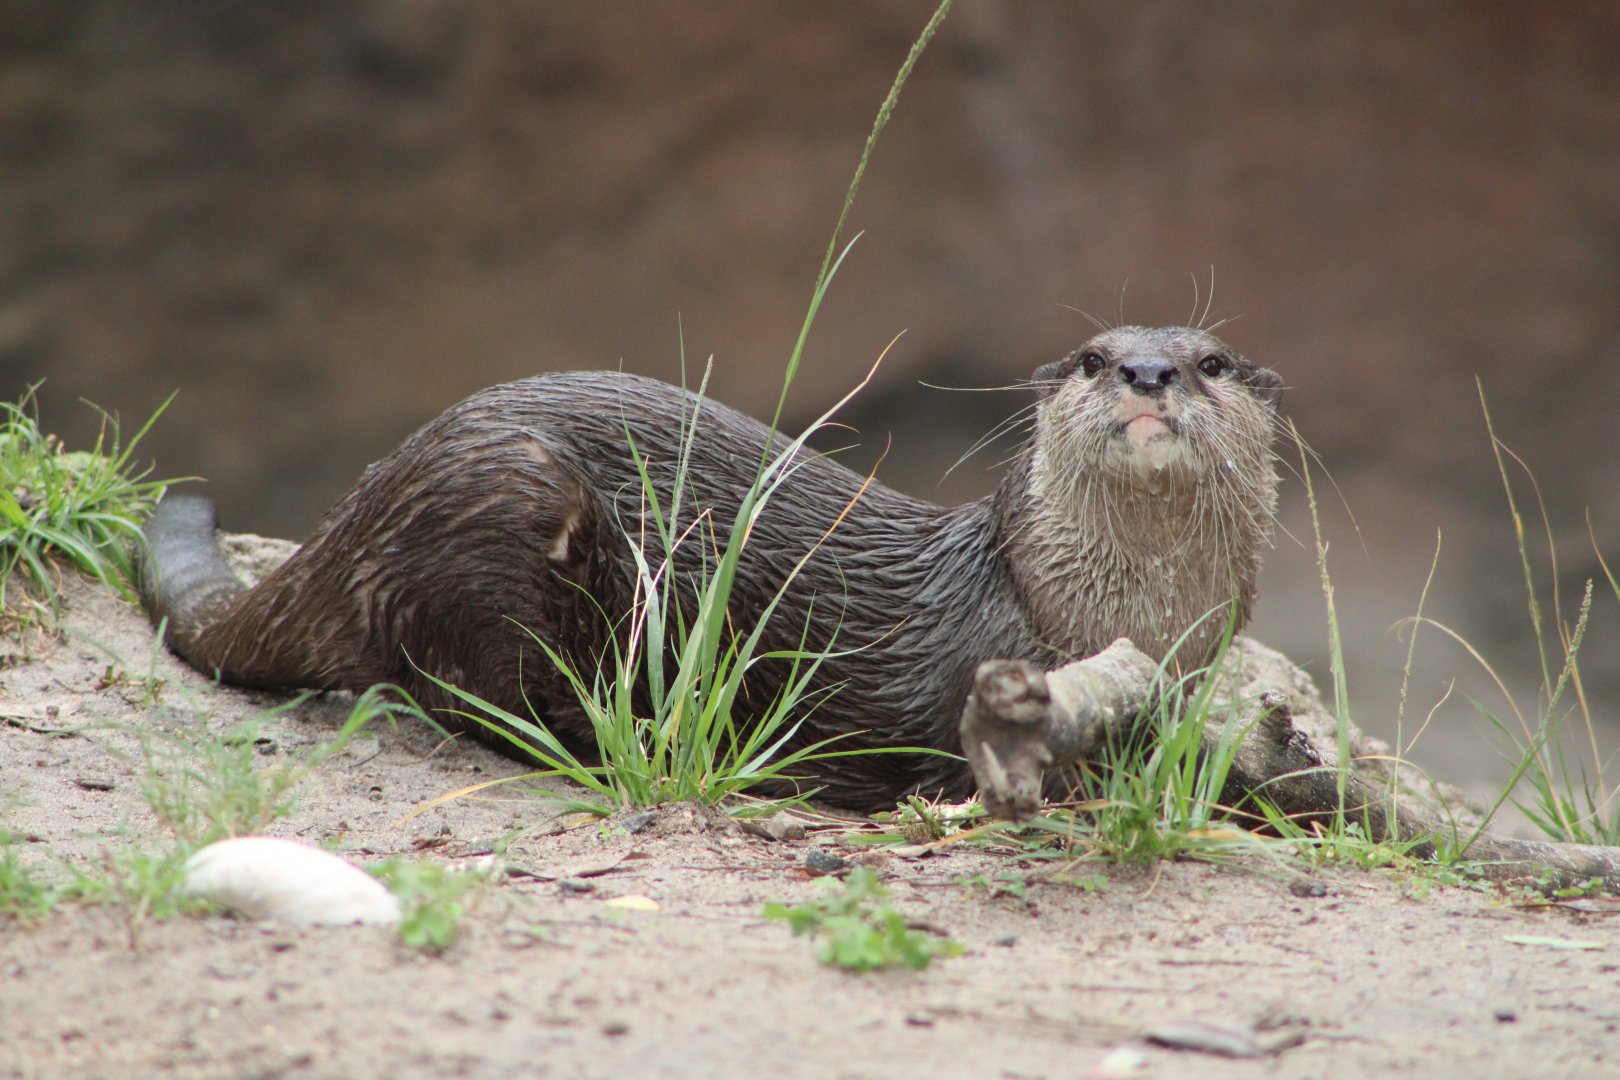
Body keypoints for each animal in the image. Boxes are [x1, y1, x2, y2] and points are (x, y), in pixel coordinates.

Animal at [139, 326, 1283, 809]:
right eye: (1094, 357)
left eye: (1211, 362)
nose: (1149, 372)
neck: (1103, 614)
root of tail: (359, 512)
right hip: (503, 500)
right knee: (467, 693)